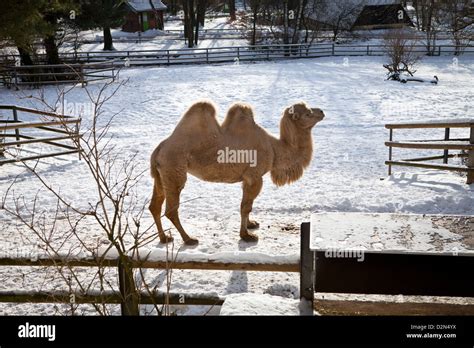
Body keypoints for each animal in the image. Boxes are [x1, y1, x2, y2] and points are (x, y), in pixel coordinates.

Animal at [150, 100, 324, 245]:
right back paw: (188, 239)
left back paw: (164, 238)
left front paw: (251, 224)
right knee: (171, 210)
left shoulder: (247, 179)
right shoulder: (255, 177)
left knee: (154, 206)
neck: (275, 149)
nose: (322, 111)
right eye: (308, 113)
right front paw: (246, 235)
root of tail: (158, 149)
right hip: (174, 171)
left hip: (161, 175)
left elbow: (248, 205)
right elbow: (245, 206)